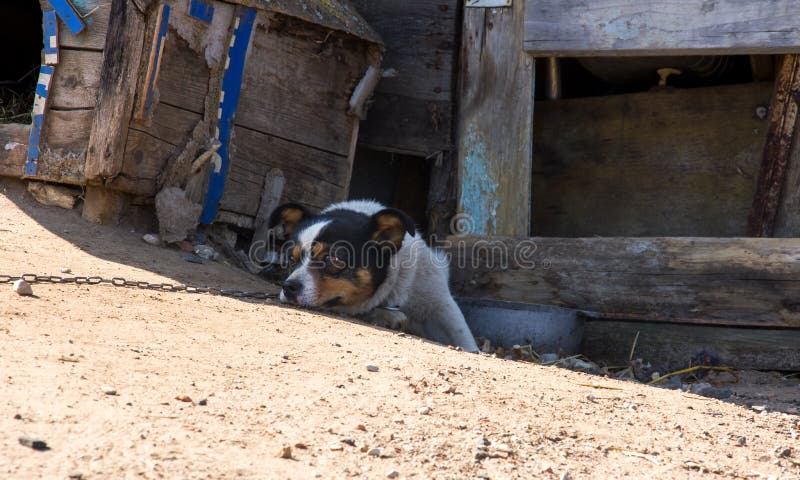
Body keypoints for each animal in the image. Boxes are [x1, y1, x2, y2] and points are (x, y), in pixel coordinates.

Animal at [268, 199, 482, 352]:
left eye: (334, 259)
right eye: (291, 258)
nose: (288, 287)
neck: (395, 291)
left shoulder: (439, 301)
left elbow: (462, 334)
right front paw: (388, 316)